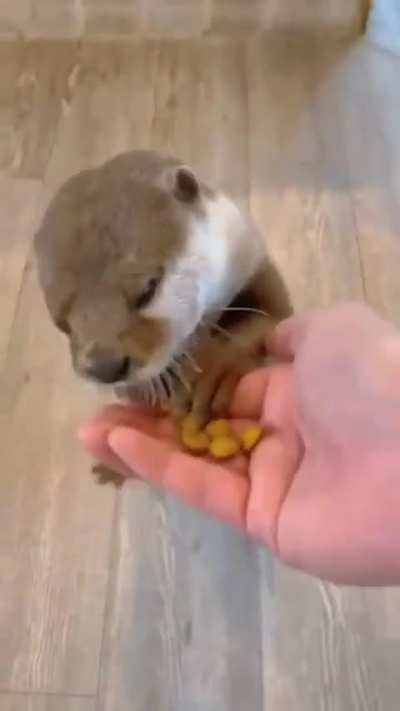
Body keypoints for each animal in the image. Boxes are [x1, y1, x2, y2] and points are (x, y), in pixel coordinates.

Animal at [34, 150, 292, 483]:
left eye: (147, 289)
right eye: (61, 321)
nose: (105, 366)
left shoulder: (249, 252)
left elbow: (270, 316)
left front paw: (217, 369)